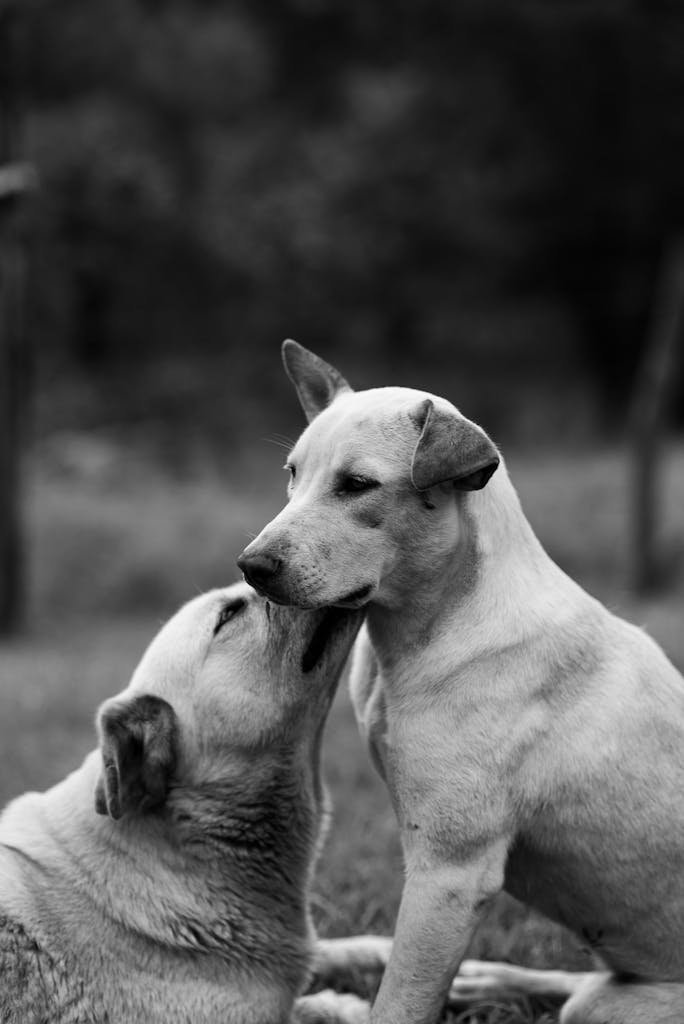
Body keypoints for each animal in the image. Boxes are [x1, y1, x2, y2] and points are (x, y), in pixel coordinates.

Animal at [237, 344, 684, 1024]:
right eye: (293, 475)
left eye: (357, 486)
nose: (251, 566)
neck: (438, 621)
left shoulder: (447, 875)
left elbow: (398, 1001)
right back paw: (488, 981)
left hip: (610, 1004)